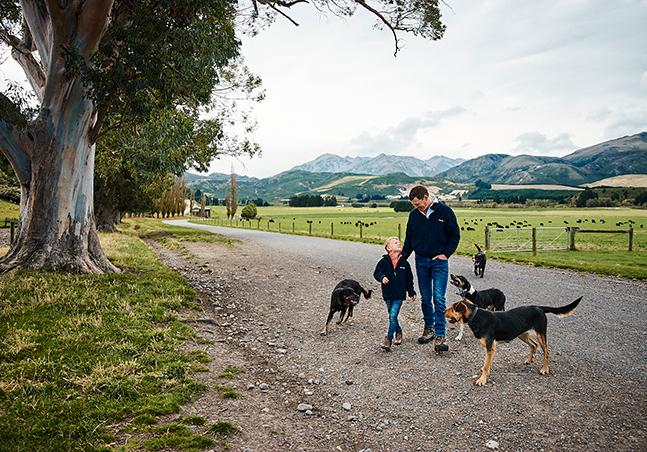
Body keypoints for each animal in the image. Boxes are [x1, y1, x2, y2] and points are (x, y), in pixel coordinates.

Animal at [446, 296, 584, 384]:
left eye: (452, 308)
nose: (443, 311)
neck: (476, 316)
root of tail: (539, 308)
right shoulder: (490, 348)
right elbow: (487, 363)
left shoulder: (491, 347)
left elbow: (486, 365)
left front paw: (482, 380)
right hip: (521, 334)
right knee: (533, 345)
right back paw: (529, 360)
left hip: (540, 334)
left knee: (546, 351)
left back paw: (545, 369)